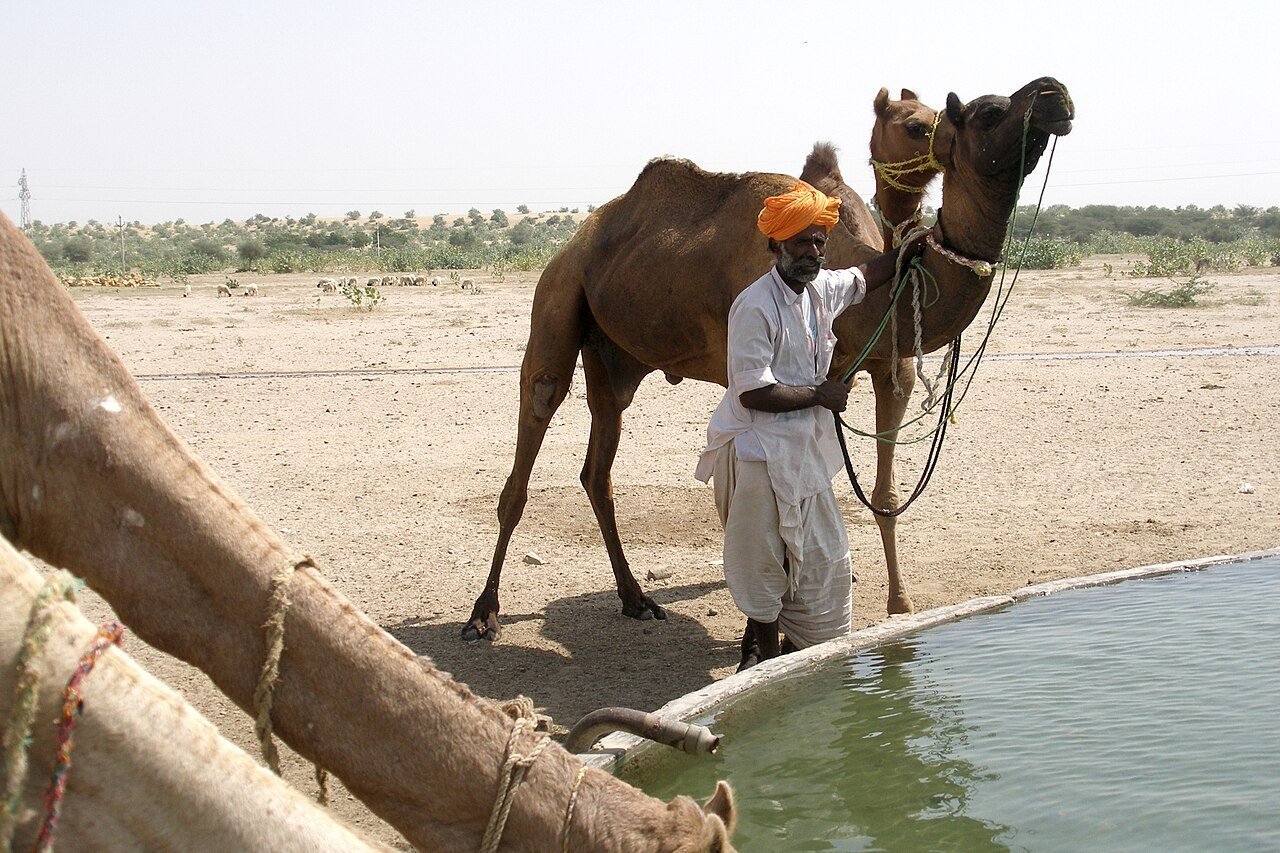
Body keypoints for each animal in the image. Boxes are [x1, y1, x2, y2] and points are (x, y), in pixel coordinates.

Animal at [467, 77, 1072, 641]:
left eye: (941, 114)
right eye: (986, 111)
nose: (1055, 94)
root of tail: (575, 241)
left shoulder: (887, 369)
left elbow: (880, 492)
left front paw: (898, 604)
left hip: (614, 355)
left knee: (598, 465)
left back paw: (636, 598)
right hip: (557, 296)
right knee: (535, 421)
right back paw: (484, 614)